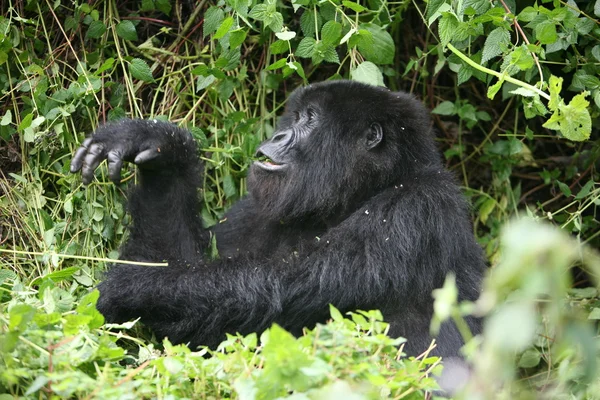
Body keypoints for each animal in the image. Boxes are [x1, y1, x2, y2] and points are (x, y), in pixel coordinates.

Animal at [70, 80, 486, 356]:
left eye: (310, 119)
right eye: (296, 116)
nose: (279, 134)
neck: (370, 187)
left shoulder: (414, 210)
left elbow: (275, 288)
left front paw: (133, 287)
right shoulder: (255, 208)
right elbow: (183, 257)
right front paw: (160, 150)